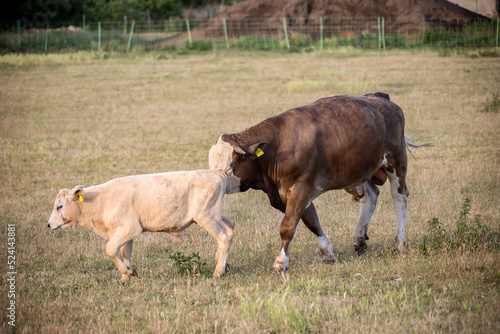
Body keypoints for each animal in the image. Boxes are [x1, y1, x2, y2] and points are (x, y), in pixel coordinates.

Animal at [209, 91, 424, 272]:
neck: (278, 148)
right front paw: (327, 252)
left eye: (230, 166)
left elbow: (288, 226)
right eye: (211, 164)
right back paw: (359, 239)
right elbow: (311, 221)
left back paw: (399, 243)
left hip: (396, 160)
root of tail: (379, 97)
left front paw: (280, 262)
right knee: (371, 196)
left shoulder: (301, 189)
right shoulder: (290, 194)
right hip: (359, 171)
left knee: (399, 197)